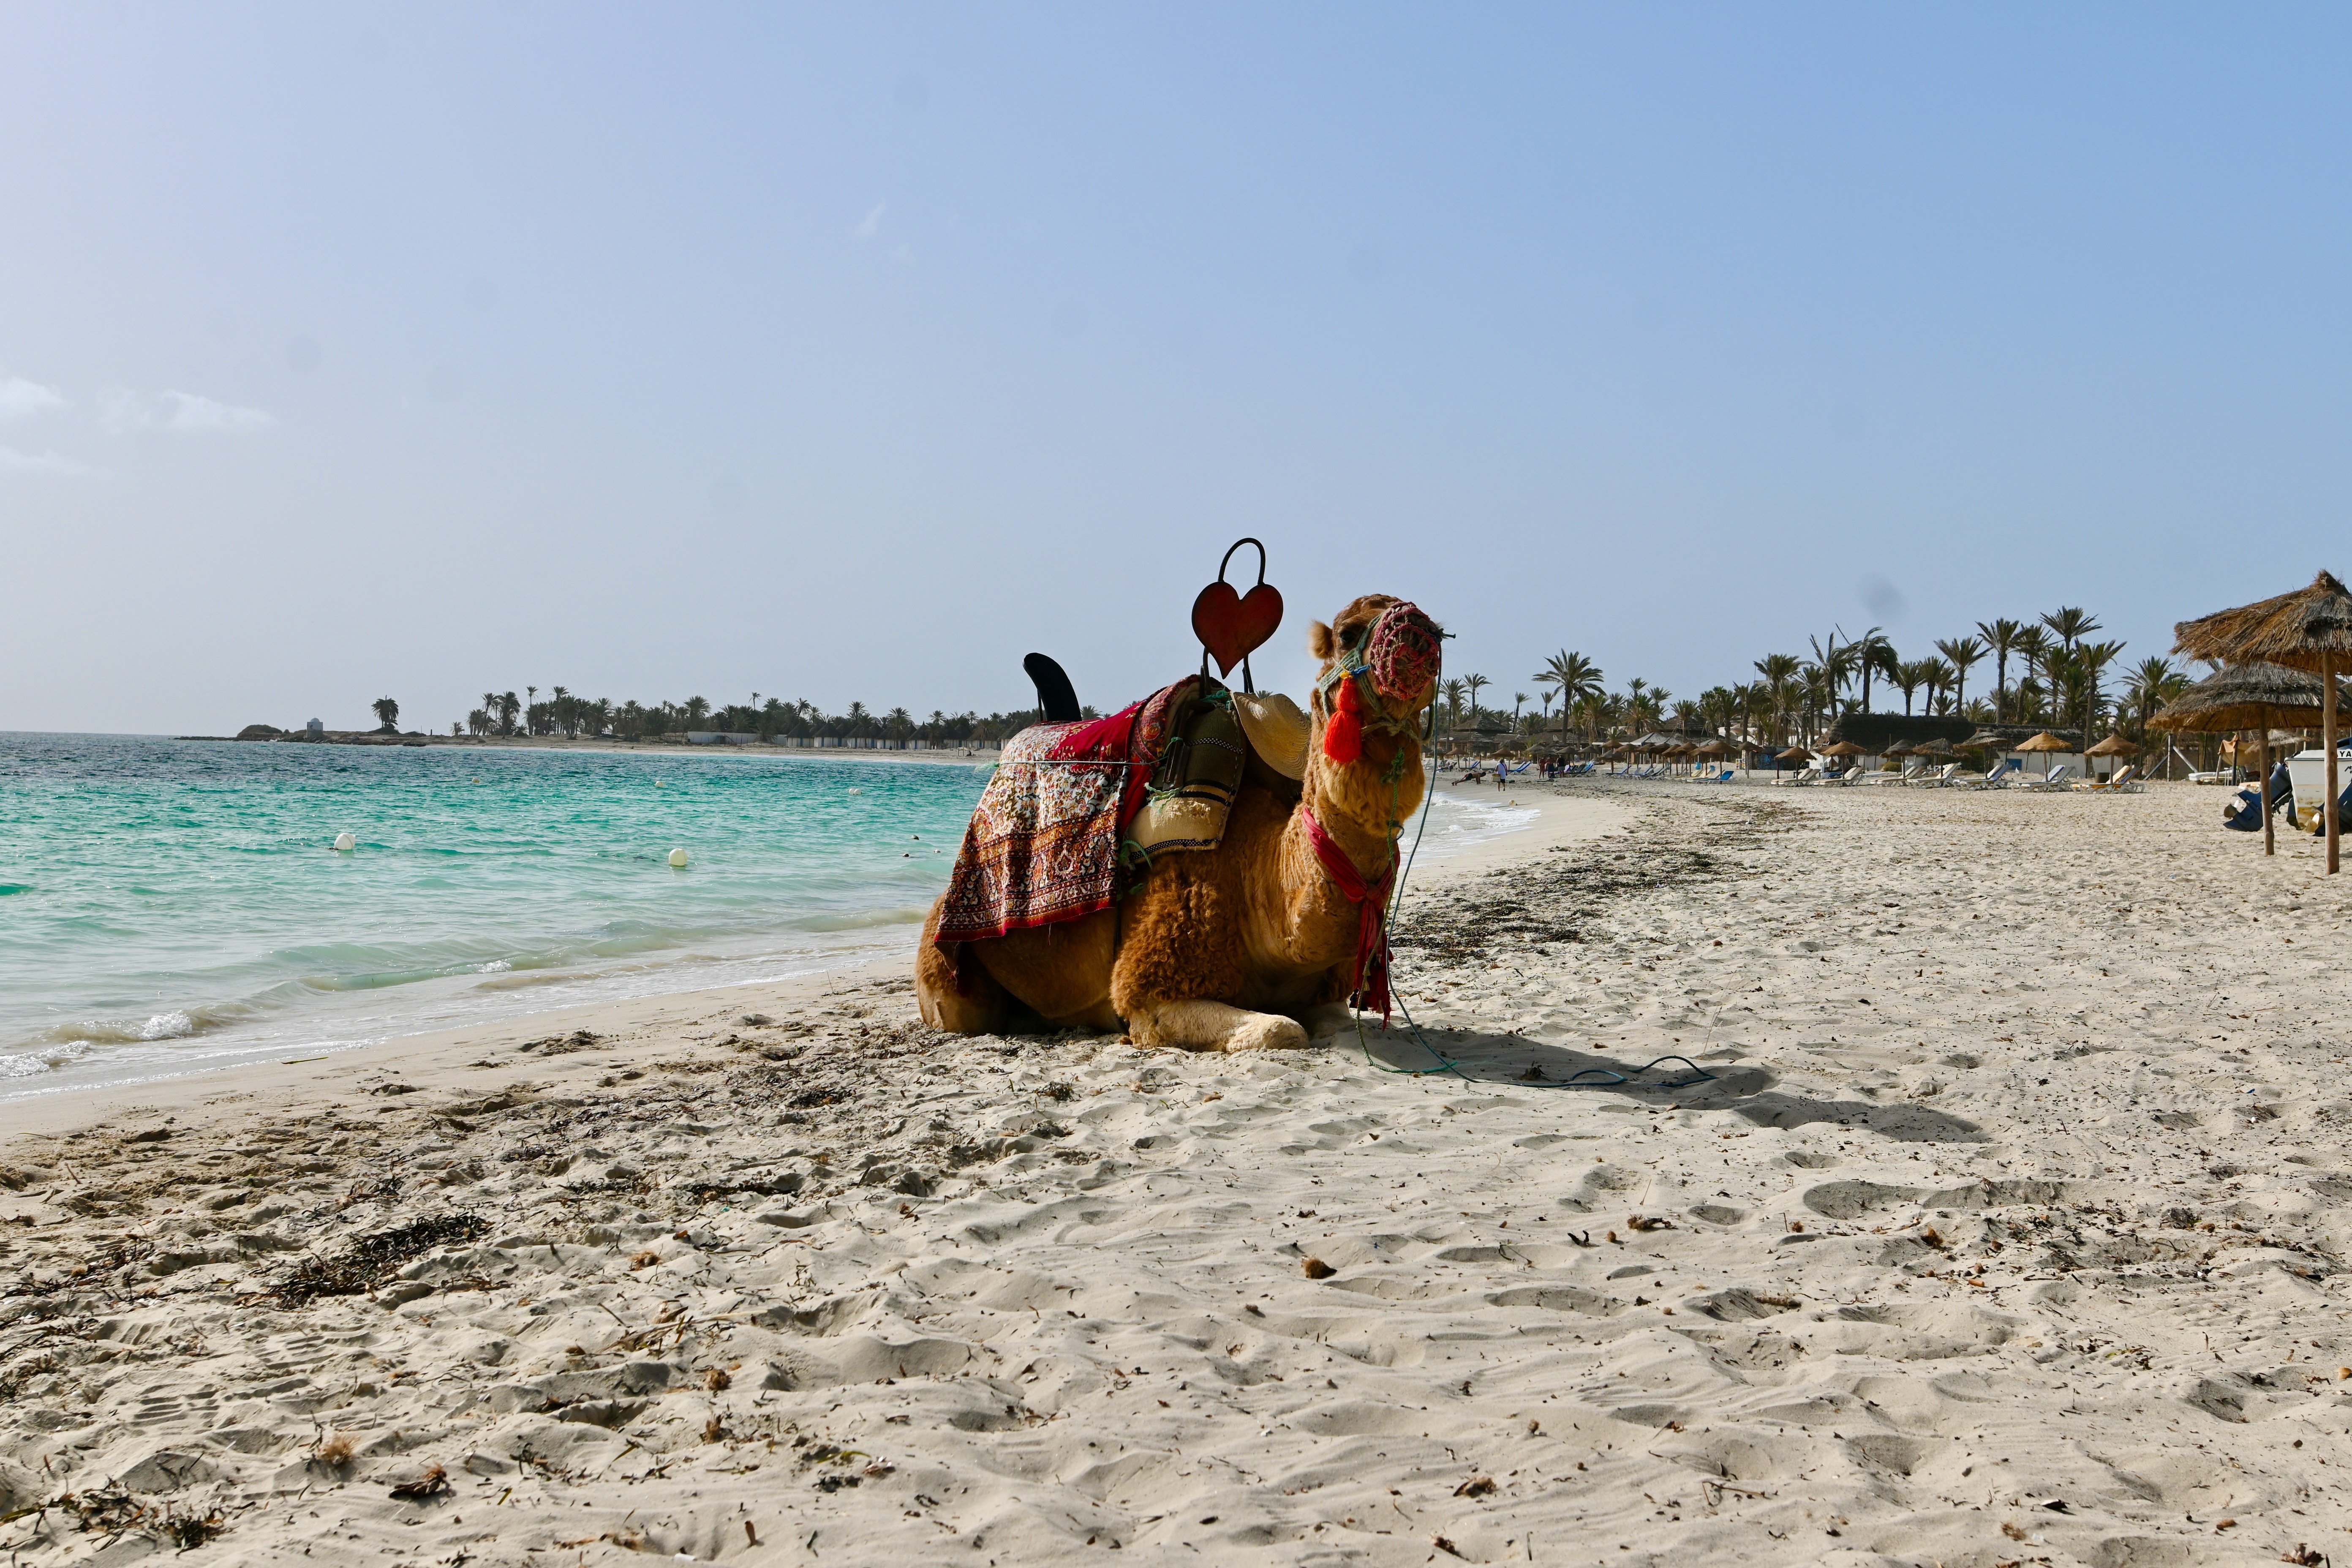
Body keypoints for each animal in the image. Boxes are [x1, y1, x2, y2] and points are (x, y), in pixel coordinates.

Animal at [912, 597, 1430, 1053]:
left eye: (1438, 628)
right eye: (1348, 632)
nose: (1416, 629)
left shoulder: (1325, 993)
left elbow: (1332, 1025)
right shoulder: (1153, 983)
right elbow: (1281, 1029)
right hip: (950, 976)